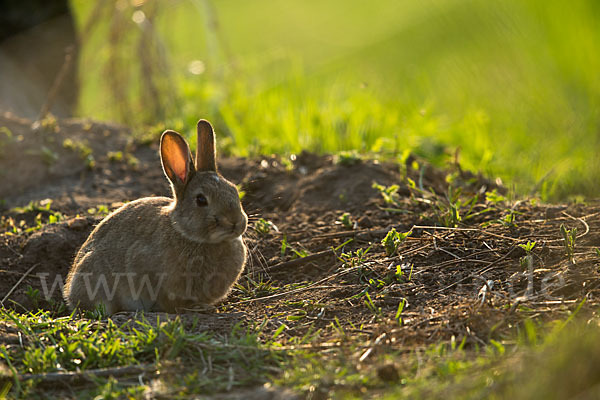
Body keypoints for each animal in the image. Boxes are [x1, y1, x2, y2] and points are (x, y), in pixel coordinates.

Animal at [62, 120, 246, 314]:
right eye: (201, 200)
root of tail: (69, 291)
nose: (236, 222)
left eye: (234, 190)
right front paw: (199, 307)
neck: (186, 233)